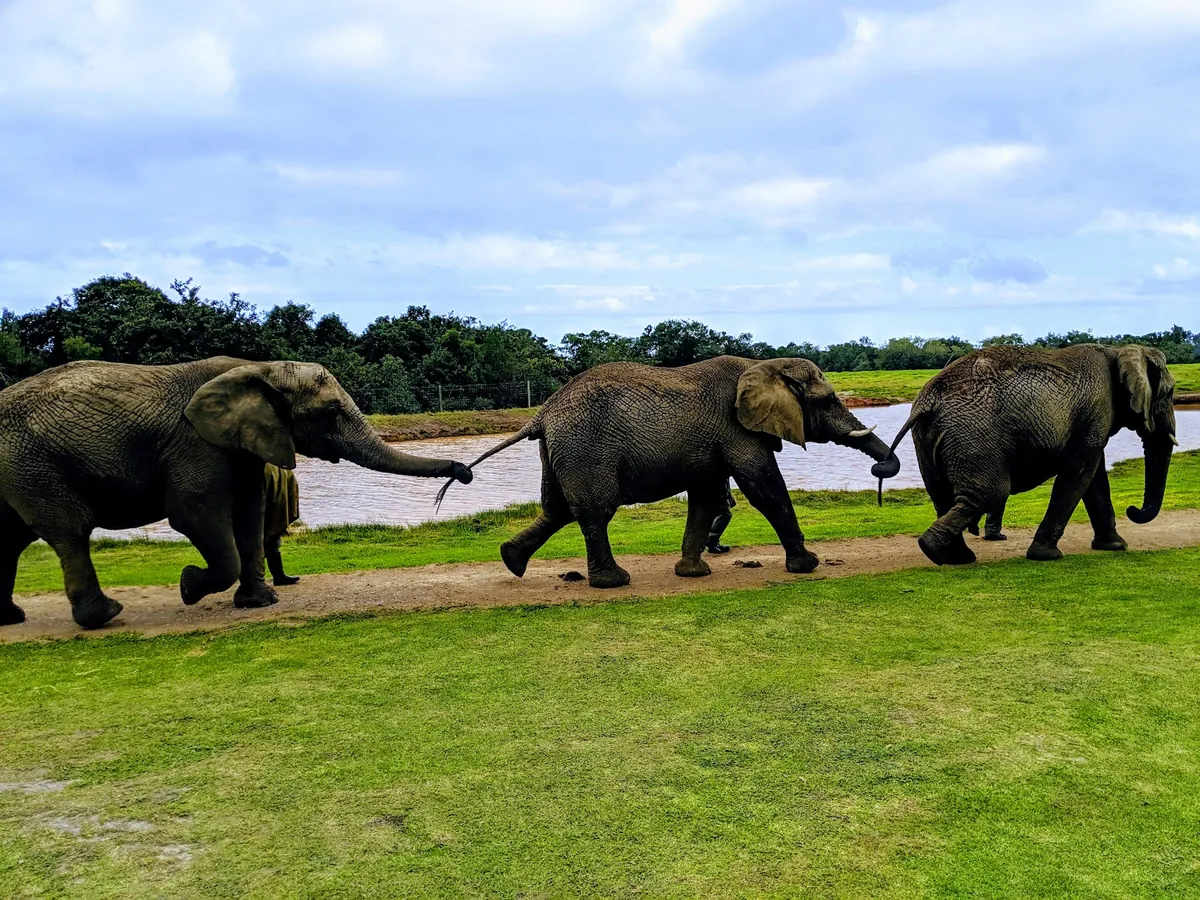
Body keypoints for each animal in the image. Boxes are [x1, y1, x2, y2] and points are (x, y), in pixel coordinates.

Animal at [0, 357, 473, 629]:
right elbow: (195, 515)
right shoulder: (194, 442)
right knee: (68, 529)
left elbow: (249, 512)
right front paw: (189, 586)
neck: (259, 367)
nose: (464, 471)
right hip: (29, 463)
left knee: (11, 540)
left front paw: (258, 603)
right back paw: (105, 616)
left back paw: (12, 619)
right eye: (332, 410)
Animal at [436, 356, 902, 587]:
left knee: (557, 510)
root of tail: (542, 412)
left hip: (558, 450)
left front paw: (692, 574)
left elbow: (707, 497)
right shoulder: (735, 429)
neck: (766, 364)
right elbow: (763, 487)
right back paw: (613, 583)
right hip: (586, 447)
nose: (880, 465)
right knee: (594, 511)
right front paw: (808, 566)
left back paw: (511, 561)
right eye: (826, 401)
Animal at [883, 344, 1177, 566]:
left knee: (942, 496)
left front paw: (1114, 546)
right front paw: (1046, 556)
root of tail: (929, 399)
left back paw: (952, 556)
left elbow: (1094, 478)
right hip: (973, 434)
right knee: (989, 494)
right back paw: (942, 552)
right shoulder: (1098, 409)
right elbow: (1081, 472)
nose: (1133, 509)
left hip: (929, 437)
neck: (1118, 351)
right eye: (1170, 393)